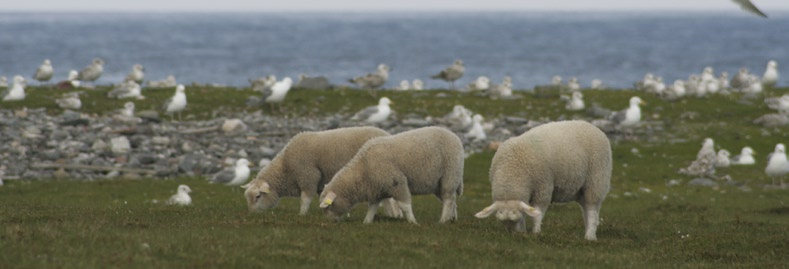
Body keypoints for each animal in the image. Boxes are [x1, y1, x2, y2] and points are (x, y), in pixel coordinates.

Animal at [240, 126, 394, 216]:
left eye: (258, 196)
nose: (251, 214)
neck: (285, 167)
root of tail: (387, 133)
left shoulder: (309, 175)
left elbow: (305, 199)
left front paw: (302, 214)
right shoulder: (321, 182)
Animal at [316, 126, 462, 223]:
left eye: (328, 206)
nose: (331, 222)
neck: (363, 168)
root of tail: (453, 135)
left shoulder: (396, 182)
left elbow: (405, 205)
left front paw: (413, 221)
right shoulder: (376, 188)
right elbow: (372, 207)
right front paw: (366, 222)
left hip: (450, 175)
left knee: (448, 199)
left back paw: (443, 220)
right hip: (437, 183)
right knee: (451, 199)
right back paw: (452, 218)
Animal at [470, 120, 612, 240]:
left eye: (517, 218)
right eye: (503, 222)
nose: (514, 235)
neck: (512, 172)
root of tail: (592, 126)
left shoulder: (543, 187)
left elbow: (538, 213)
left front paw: (536, 232)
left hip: (596, 180)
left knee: (592, 210)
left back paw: (590, 236)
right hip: (581, 189)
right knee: (586, 210)